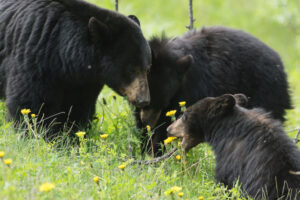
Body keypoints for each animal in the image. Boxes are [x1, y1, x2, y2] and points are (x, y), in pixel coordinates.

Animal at [0, 0, 151, 137]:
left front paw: (71, 137)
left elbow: (77, 108)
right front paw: (40, 136)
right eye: (131, 69)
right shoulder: (34, 55)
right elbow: (31, 104)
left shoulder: (83, 81)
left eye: (147, 68)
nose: (143, 100)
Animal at [138, 26, 290, 155]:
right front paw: (147, 150)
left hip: (266, 92)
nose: (148, 123)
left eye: (162, 102)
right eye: (147, 103)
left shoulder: (188, 91)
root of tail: (281, 67)